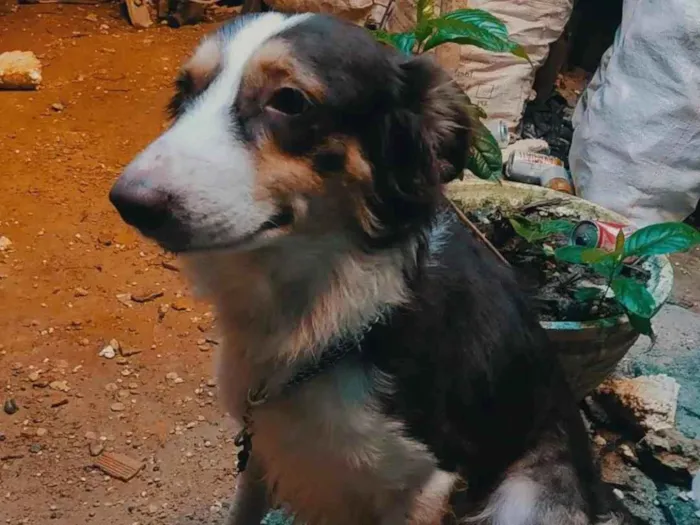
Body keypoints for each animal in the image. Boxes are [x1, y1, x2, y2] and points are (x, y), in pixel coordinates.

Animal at [110, 12, 636, 524]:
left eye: (290, 101)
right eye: (184, 92)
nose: (127, 203)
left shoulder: (428, 479)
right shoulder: (262, 441)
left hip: (528, 495)